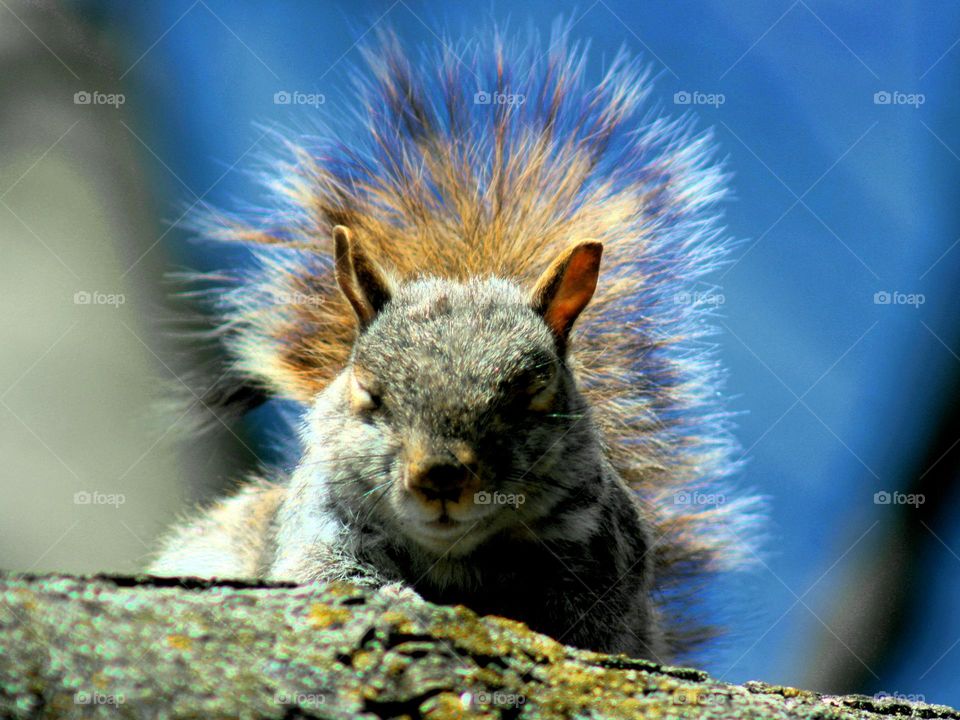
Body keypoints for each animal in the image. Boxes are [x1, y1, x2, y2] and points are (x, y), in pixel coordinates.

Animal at [150, 26, 754, 663]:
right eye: (368, 391)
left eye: (534, 392)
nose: (440, 477)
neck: (454, 555)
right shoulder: (323, 528)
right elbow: (335, 578)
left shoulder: (598, 558)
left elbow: (590, 629)